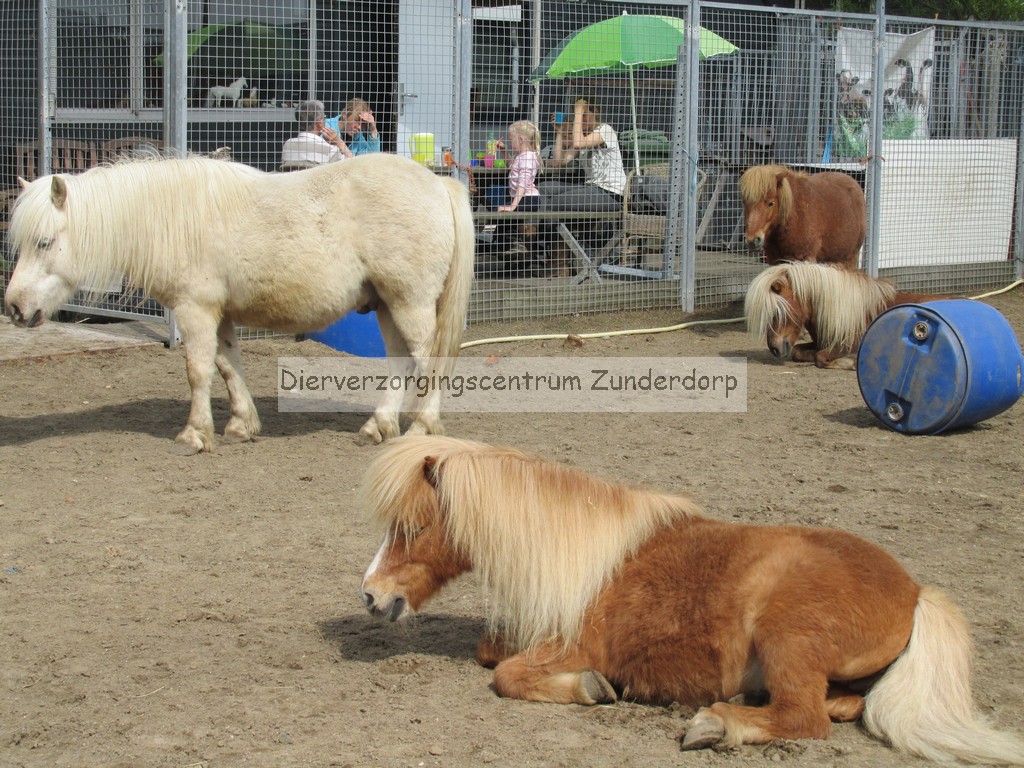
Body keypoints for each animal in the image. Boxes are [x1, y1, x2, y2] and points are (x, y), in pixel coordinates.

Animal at [4, 153, 475, 454]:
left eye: (44, 241)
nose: (14, 308)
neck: (173, 220)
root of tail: (438, 183)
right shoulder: (221, 315)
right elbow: (228, 366)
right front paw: (241, 425)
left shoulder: (195, 311)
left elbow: (198, 371)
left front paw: (196, 435)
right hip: (388, 306)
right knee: (401, 363)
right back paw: (378, 426)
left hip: (410, 303)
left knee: (429, 361)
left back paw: (421, 428)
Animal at [362, 436, 1024, 765]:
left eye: (413, 527)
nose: (371, 596)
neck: (580, 559)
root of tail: (916, 592)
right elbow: (489, 652)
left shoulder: (572, 645)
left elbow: (505, 675)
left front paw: (593, 688)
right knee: (842, 705)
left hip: (789, 634)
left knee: (804, 718)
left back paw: (715, 723)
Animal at [741, 264, 937, 370]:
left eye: (778, 311)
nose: (774, 348)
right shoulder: (821, 341)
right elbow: (798, 351)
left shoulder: (850, 343)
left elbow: (820, 357)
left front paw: (850, 363)